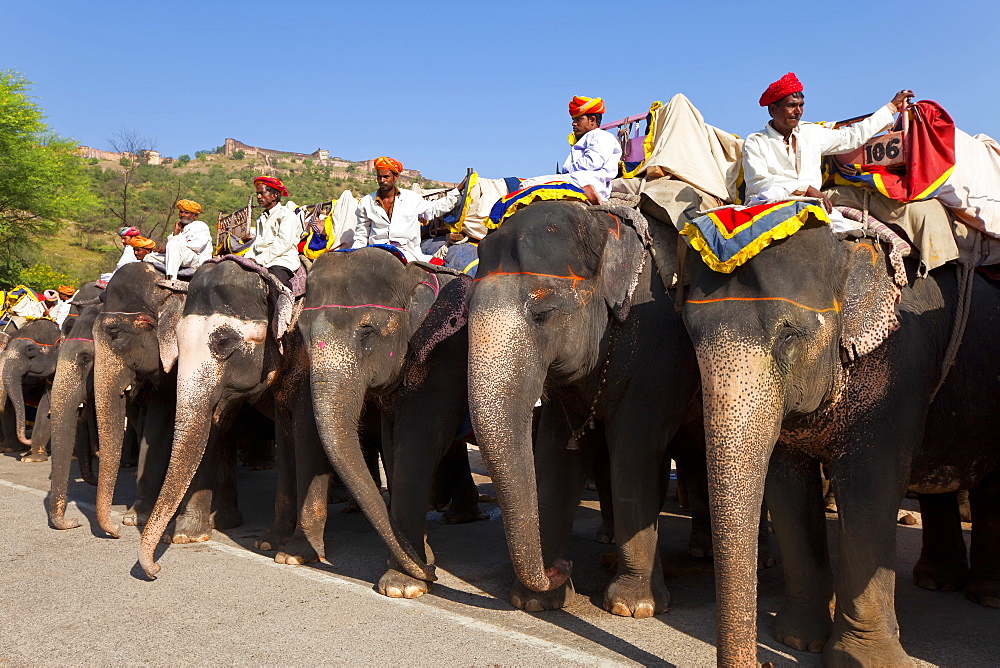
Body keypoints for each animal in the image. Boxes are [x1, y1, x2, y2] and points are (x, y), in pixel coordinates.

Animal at [298, 247, 482, 600]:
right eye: (300, 332)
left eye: (367, 331)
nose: (432, 572)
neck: (409, 273)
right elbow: (392, 443)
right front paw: (416, 563)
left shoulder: (444, 357)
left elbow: (418, 440)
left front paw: (403, 584)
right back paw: (459, 517)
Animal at [464, 201, 700, 620]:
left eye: (543, 313)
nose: (562, 567)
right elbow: (557, 456)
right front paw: (536, 602)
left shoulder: (662, 355)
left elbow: (633, 453)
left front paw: (632, 608)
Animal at [684, 218, 1000, 664]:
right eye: (690, 337)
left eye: (789, 338)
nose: (762, 661)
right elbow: (787, 485)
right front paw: (799, 640)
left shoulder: (895, 366)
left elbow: (869, 485)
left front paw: (866, 660)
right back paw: (939, 582)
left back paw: (986, 598)